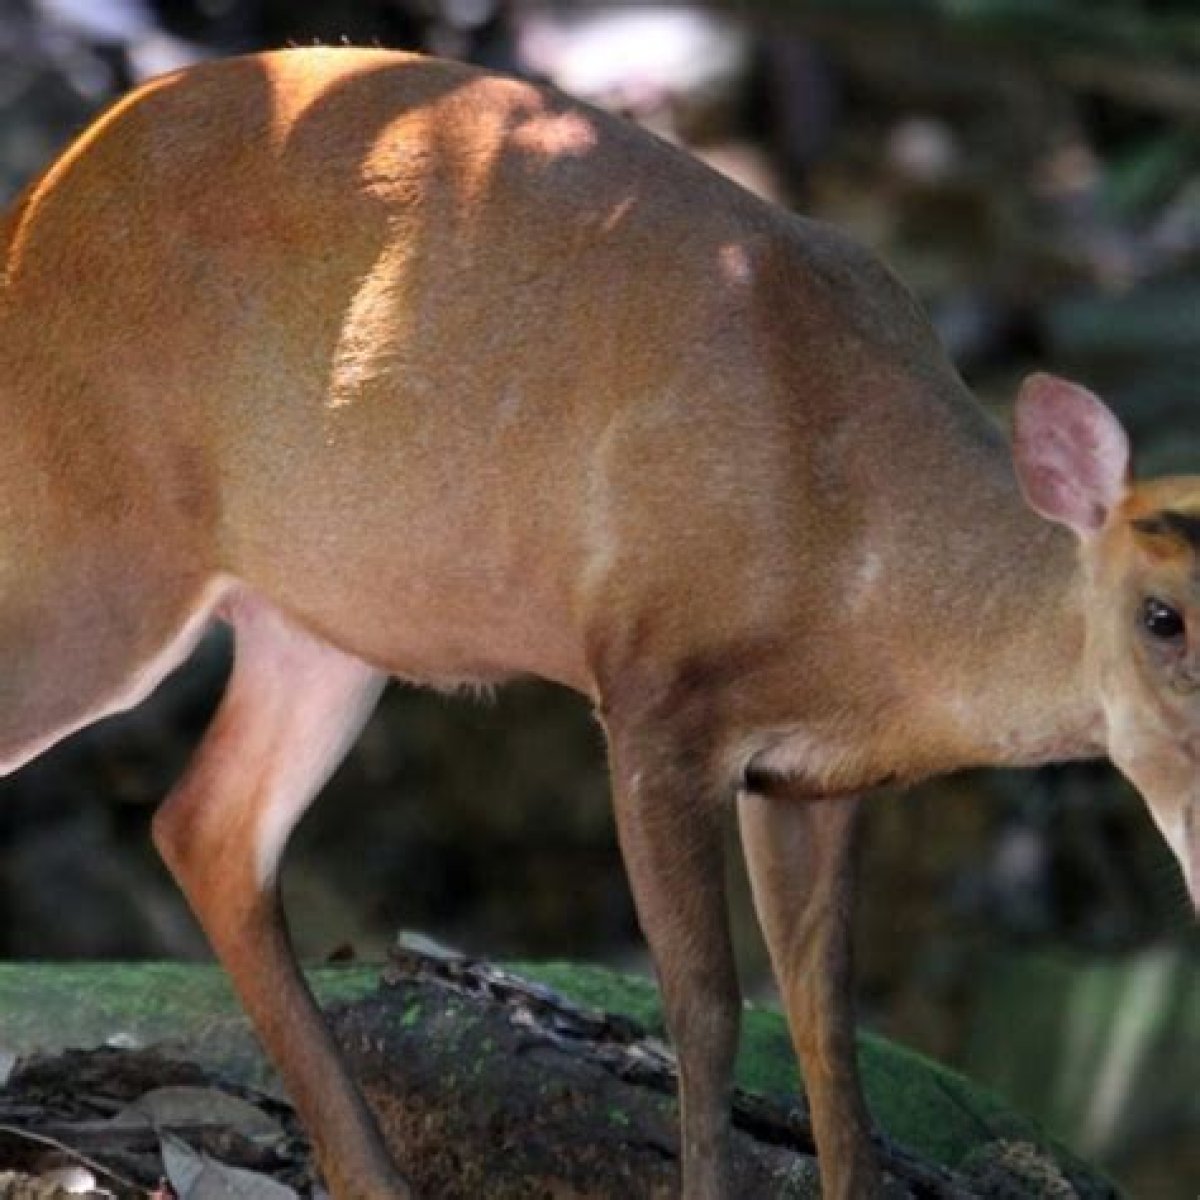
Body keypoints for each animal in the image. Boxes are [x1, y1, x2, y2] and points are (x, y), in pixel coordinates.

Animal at [1, 46, 1195, 1200]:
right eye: (1163, 617)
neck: (857, 562)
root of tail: (32, 212)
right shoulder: (652, 690)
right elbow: (705, 1010)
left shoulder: (813, 777)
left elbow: (826, 1025)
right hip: (95, 531)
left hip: (323, 615)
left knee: (208, 826)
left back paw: (371, 1175)